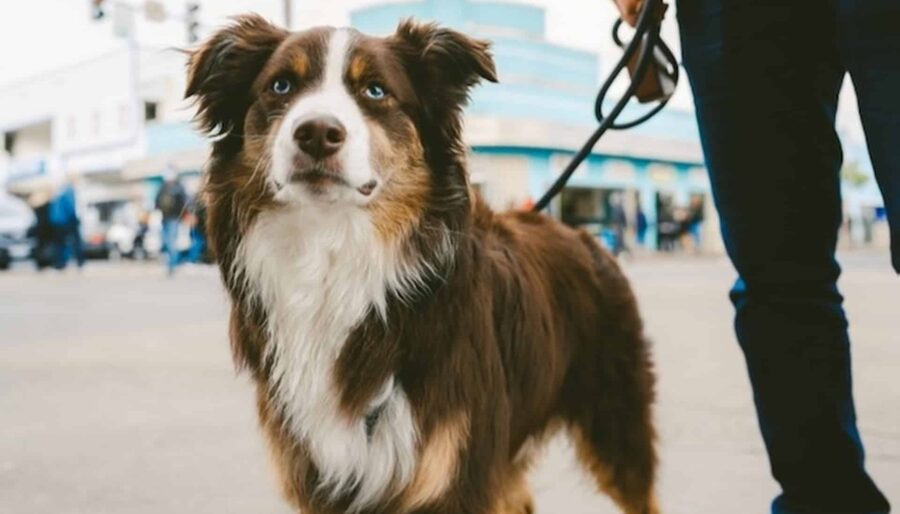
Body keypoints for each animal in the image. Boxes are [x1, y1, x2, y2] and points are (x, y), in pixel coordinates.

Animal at [186, 15, 656, 512]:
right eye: (280, 86)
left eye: (375, 91)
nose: (316, 133)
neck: (334, 248)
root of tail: (586, 237)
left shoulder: (457, 466)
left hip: (616, 419)